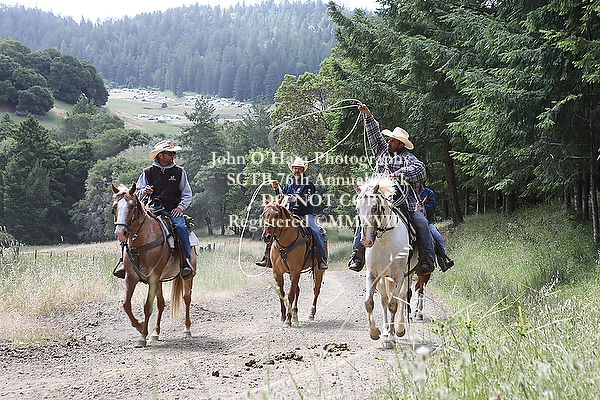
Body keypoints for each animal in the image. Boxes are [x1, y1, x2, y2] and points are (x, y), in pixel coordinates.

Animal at [111, 183, 196, 348]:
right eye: (114, 207)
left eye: (132, 206)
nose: (120, 232)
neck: (140, 242)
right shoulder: (131, 277)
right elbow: (126, 304)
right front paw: (140, 327)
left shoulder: (152, 278)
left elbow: (147, 306)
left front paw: (142, 336)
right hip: (160, 281)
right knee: (161, 304)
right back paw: (155, 333)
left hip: (187, 277)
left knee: (186, 298)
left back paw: (187, 330)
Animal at [260, 196, 326, 327]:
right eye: (264, 214)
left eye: (276, 214)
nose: (266, 237)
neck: (284, 244)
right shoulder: (278, 272)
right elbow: (282, 293)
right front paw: (282, 317)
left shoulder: (295, 271)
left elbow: (290, 294)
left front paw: (288, 320)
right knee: (298, 290)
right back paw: (295, 314)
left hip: (318, 271)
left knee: (316, 290)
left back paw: (311, 314)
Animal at [354, 175, 418, 347]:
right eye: (357, 209)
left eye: (375, 208)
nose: (366, 241)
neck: (384, 240)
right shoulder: (373, 274)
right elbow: (370, 303)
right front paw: (375, 333)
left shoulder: (398, 275)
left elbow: (393, 304)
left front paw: (392, 336)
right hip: (383, 278)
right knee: (383, 300)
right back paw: (385, 330)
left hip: (408, 274)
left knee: (402, 297)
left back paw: (399, 329)